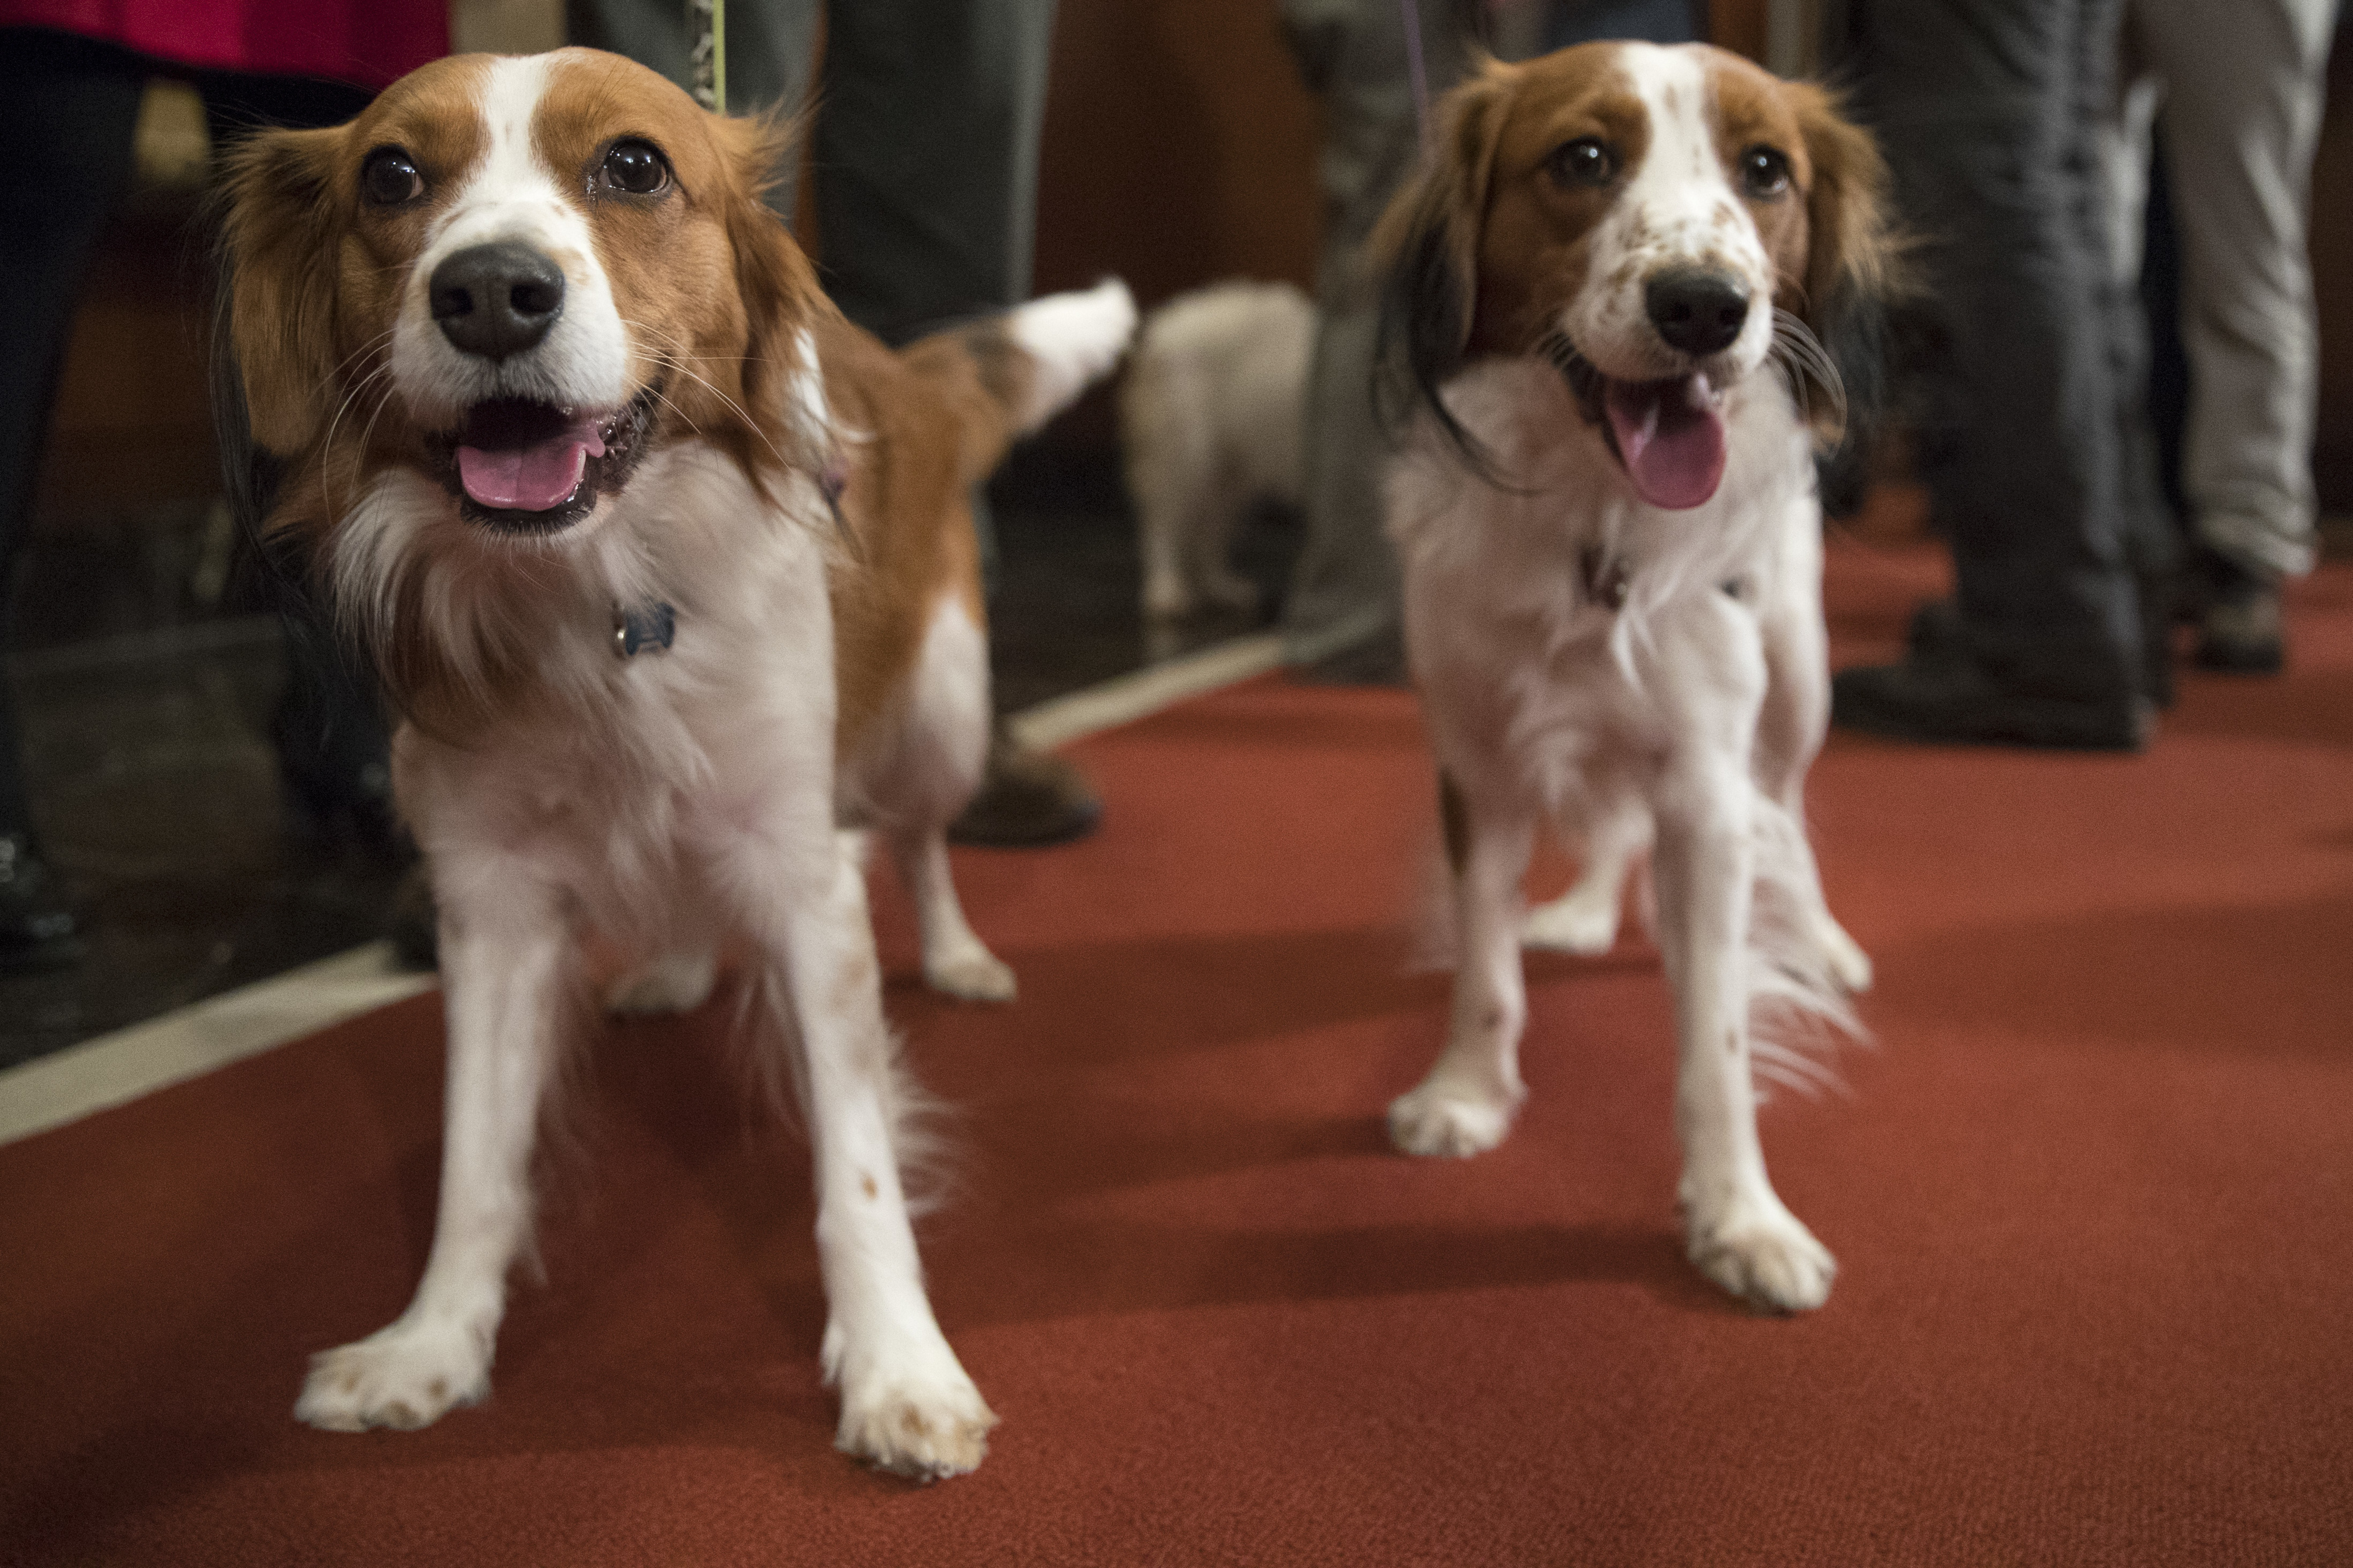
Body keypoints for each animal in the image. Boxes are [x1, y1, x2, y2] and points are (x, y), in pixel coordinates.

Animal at [225, 43, 1134, 1476]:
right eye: (392, 177)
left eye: (634, 167)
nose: (490, 293)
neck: (595, 590)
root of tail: (908, 371)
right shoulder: (488, 899)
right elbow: (476, 1162)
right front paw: (432, 1344)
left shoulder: (803, 872)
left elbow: (855, 1166)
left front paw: (898, 1366)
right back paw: (675, 967)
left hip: (937, 712)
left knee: (923, 838)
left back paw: (957, 952)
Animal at [1374, 43, 1892, 1316]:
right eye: (1583, 159)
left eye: (1766, 170)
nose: (1703, 305)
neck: (1597, 524)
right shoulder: (1478, 765)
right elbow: (1485, 965)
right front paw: (1467, 1091)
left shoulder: (1706, 790)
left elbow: (1715, 1040)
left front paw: (1739, 1216)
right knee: (1612, 821)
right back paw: (1580, 910)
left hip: (1798, 684)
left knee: (1787, 807)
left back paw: (1819, 937)